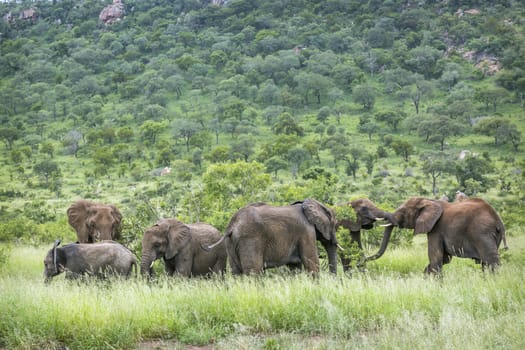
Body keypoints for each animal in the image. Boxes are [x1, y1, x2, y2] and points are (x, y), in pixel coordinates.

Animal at [207, 200, 338, 276]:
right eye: (335, 224)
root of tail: (232, 226)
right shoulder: (307, 231)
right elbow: (312, 263)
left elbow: (295, 266)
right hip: (250, 239)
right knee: (253, 272)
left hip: (231, 243)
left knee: (237, 272)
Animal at [362, 197, 506, 274]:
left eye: (403, 212)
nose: (364, 259)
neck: (428, 201)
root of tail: (498, 221)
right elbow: (444, 259)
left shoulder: (436, 229)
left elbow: (436, 257)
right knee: (485, 264)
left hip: (482, 233)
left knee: (491, 262)